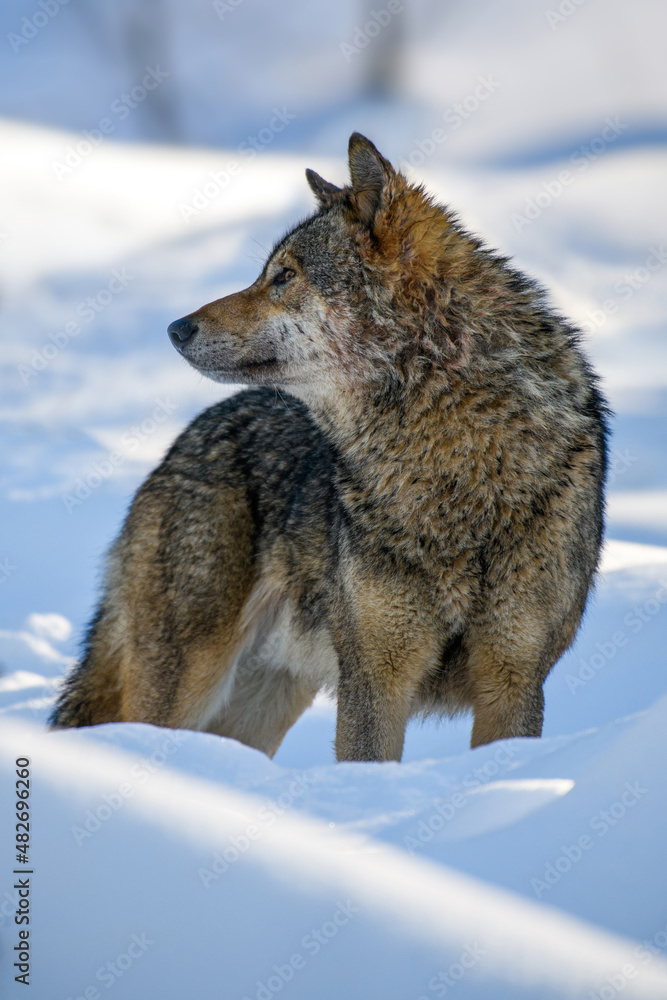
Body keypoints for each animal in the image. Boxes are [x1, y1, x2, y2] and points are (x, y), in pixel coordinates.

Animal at [49, 131, 608, 756]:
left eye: (285, 276)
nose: (175, 329)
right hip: (182, 688)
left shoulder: (514, 682)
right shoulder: (373, 678)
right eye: (267, 273)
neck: (456, 469)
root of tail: (187, 437)